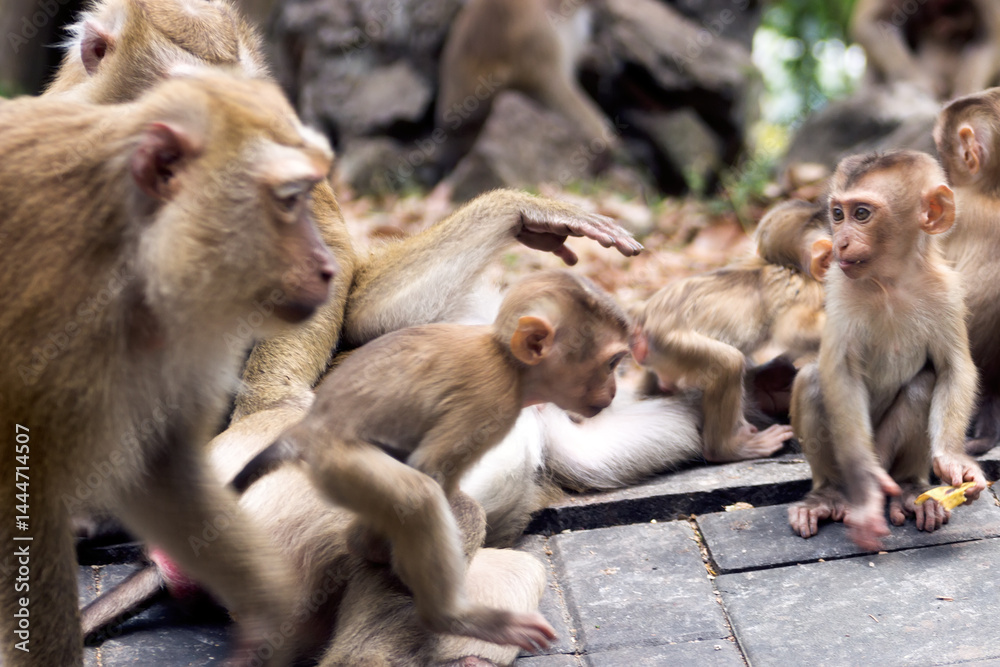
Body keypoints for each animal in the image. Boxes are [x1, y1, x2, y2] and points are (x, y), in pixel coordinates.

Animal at [625, 200, 832, 464]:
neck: (788, 265)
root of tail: (642, 321)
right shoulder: (806, 290)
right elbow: (793, 331)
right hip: (670, 344)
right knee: (728, 363)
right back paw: (729, 449)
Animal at [787, 150, 987, 551]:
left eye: (862, 214)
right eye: (837, 214)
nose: (840, 242)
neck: (890, 282)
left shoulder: (947, 290)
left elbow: (954, 368)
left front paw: (953, 460)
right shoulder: (839, 286)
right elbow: (841, 373)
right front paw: (866, 488)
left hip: (887, 453)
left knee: (923, 384)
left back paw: (910, 490)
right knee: (814, 379)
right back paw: (828, 495)